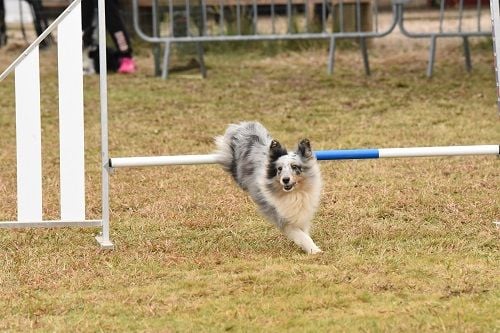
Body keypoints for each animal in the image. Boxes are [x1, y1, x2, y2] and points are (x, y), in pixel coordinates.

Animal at [213, 122, 322, 254]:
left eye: (294, 166)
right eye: (279, 169)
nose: (285, 180)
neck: (293, 193)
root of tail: (243, 125)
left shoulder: (302, 212)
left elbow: (304, 231)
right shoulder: (280, 217)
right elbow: (300, 235)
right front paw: (314, 250)